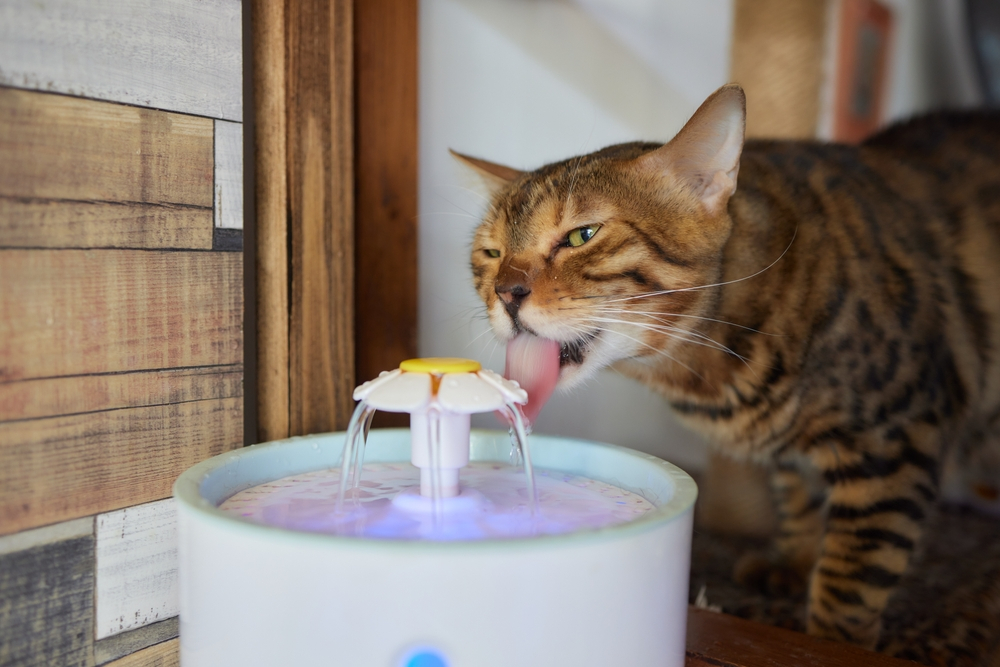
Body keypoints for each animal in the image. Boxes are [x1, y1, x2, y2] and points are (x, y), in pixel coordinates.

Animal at [458, 83, 1000, 656]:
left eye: (583, 235)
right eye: (491, 252)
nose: (506, 292)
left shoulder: (892, 444)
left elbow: (849, 582)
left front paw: (829, 642)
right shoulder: (803, 454)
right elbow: (797, 493)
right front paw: (796, 558)